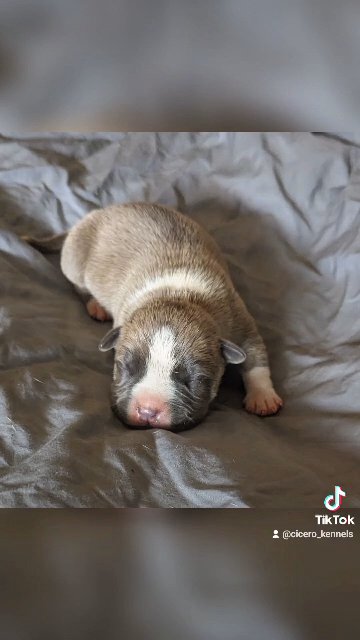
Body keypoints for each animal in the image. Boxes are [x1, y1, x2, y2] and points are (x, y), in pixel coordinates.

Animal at [26, 204, 284, 430]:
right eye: (124, 367)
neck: (179, 296)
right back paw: (95, 304)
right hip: (75, 260)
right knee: (78, 285)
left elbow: (255, 359)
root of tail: (96, 214)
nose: (148, 411)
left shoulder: (240, 323)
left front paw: (262, 397)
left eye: (196, 379)